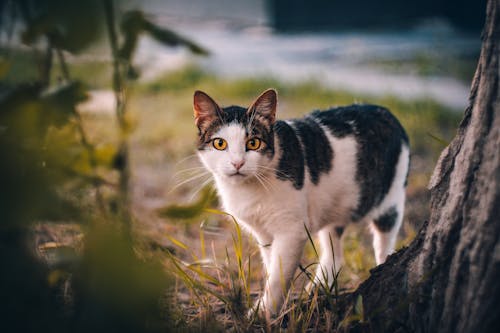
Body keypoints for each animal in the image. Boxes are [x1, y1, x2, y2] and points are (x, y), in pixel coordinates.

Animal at [193, 87, 408, 314]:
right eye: (220, 143)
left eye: (253, 143)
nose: (237, 163)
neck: (247, 189)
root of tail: (387, 111)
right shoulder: (264, 234)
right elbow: (271, 265)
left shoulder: (291, 231)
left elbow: (278, 277)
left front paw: (264, 314)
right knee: (335, 254)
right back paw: (318, 288)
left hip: (391, 200)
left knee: (385, 241)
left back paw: (384, 263)